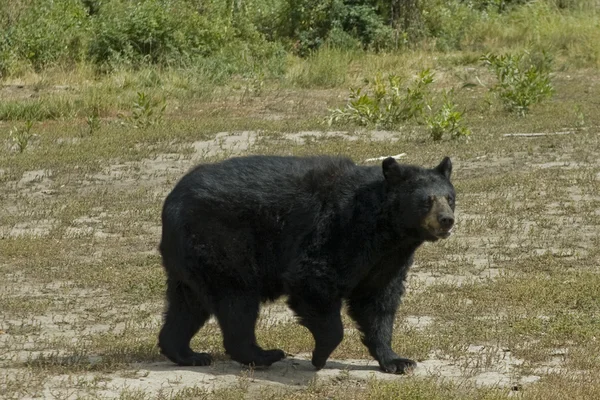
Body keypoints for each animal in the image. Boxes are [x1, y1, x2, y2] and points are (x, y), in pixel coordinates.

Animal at [157, 155, 458, 374]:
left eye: (450, 198)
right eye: (426, 201)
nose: (447, 220)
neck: (386, 230)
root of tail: (171, 202)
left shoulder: (386, 261)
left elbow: (377, 303)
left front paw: (397, 360)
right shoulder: (337, 231)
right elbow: (312, 279)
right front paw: (320, 355)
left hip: (192, 259)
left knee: (188, 305)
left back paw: (188, 354)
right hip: (223, 244)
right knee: (236, 301)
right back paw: (264, 354)